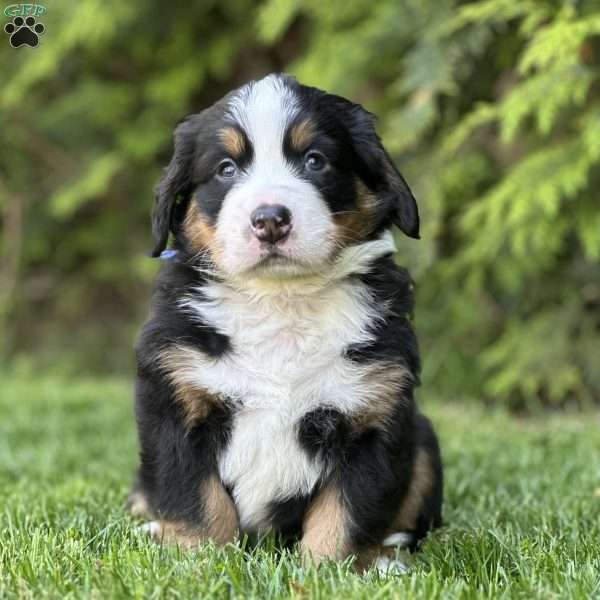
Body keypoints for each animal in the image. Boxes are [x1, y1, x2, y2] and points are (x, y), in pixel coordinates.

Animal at [130, 72, 440, 568]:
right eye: (226, 169)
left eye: (315, 161)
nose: (270, 219)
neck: (282, 301)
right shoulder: (175, 401)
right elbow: (198, 500)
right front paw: (199, 562)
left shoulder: (375, 412)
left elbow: (345, 510)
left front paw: (328, 570)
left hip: (423, 439)